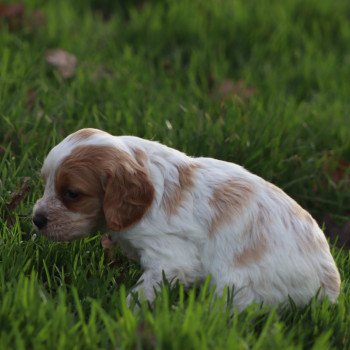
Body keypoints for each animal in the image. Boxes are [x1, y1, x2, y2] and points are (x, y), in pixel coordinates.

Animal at [32, 129, 340, 308]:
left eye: (72, 194)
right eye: (45, 183)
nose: (36, 219)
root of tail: (332, 288)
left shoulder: (170, 259)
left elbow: (143, 292)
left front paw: (123, 311)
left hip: (239, 287)